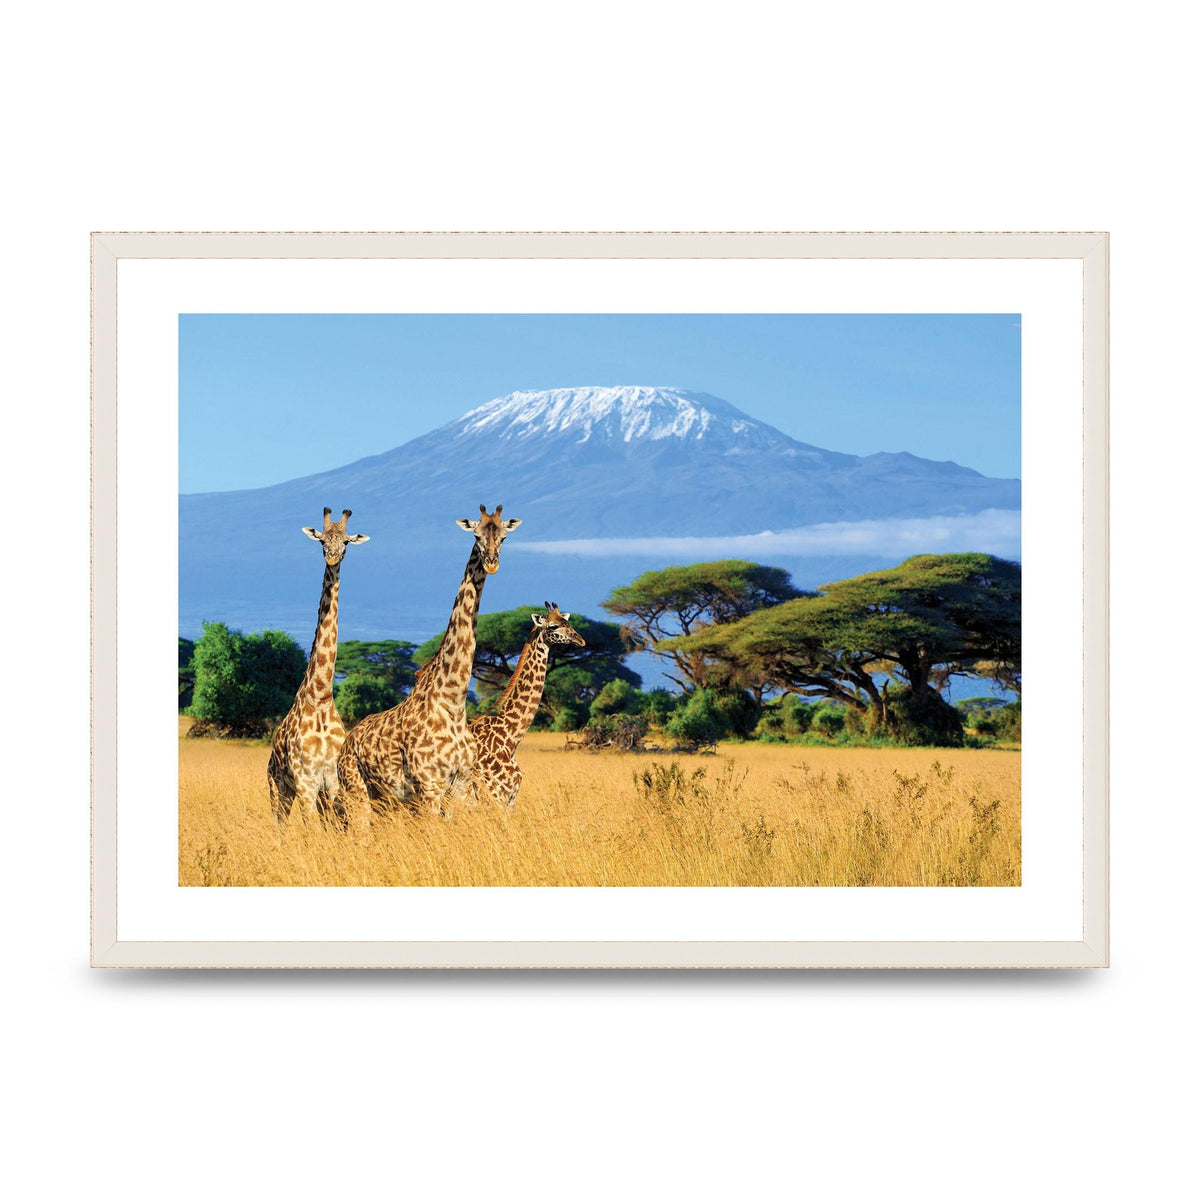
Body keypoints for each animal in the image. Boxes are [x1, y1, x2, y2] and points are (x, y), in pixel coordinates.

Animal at [266, 507, 369, 823]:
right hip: (278, 788)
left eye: (346, 541)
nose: (332, 557)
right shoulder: (305, 782)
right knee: (279, 824)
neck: (321, 697)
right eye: (322, 540)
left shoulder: (332, 782)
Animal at [336, 504, 521, 829]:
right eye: (476, 535)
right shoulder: (429, 785)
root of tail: (346, 744)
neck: (453, 701)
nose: (491, 563)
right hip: (356, 790)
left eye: (504, 537)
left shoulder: (460, 785)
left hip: (384, 799)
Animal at [470, 602, 585, 810]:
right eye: (553, 626)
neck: (510, 737)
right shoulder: (496, 795)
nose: (581, 641)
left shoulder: (509, 798)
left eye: (567, 622)